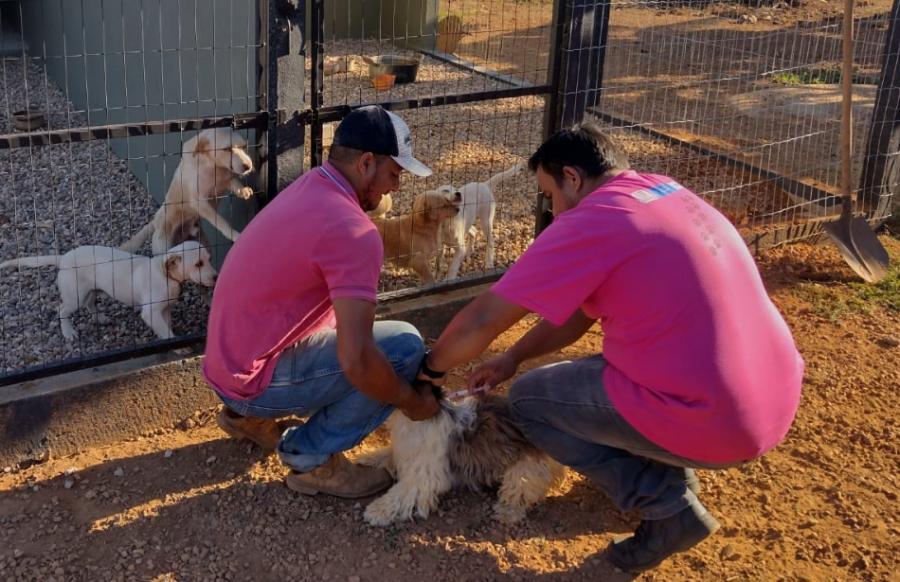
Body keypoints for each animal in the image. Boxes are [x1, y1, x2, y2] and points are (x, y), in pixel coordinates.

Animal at [119, 128, 253, 256]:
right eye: (227, 149)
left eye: (243, 146)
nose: (248, 166)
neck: (212, 166)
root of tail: (155, 220)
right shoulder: (199, 201)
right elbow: (221, 222)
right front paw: (235, 235)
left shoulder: (225, 179)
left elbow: (234, 182)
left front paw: (243, 191)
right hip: (163, 246)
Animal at [356, 392, 564, 528]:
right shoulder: (404, 452)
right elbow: (386, 454)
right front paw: (365, 458)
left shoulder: (423, 478)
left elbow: (399, 494)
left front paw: (377, 510)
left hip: (525, 469)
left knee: (519, 492)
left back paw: (507, 512)